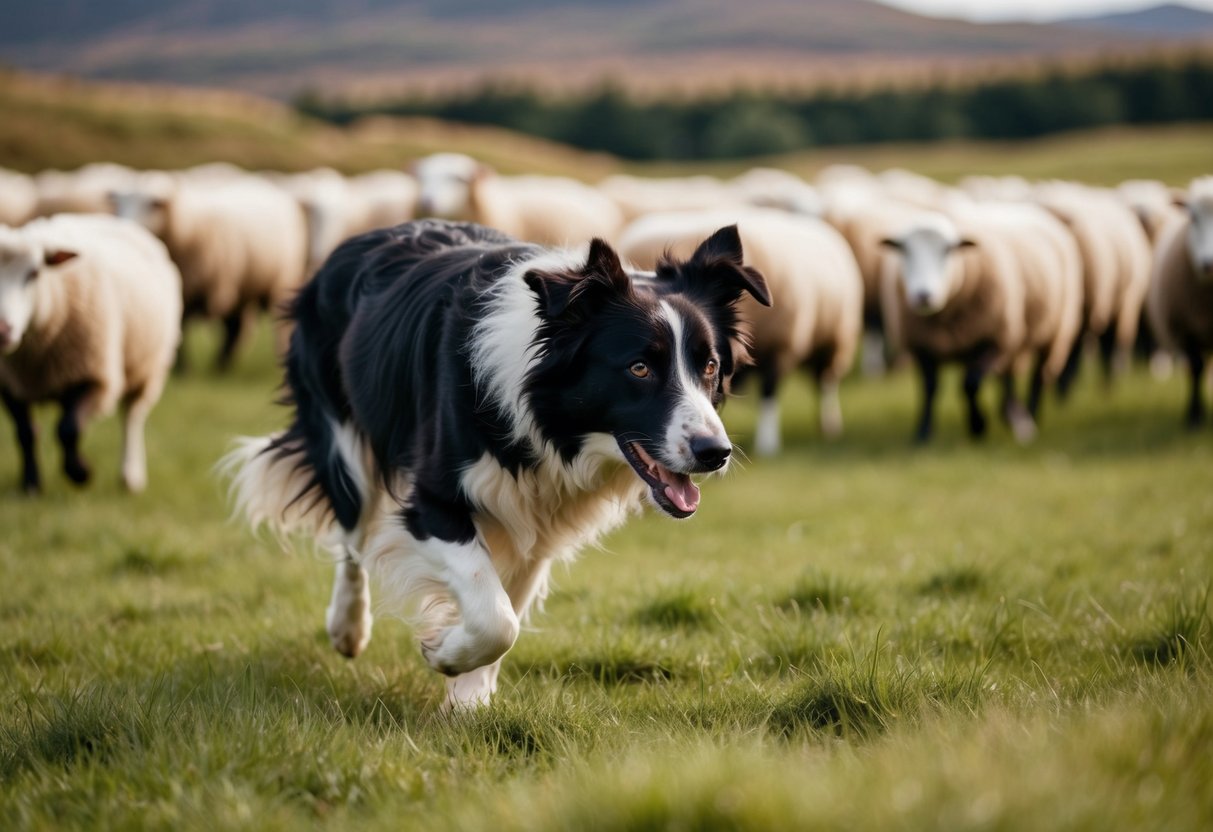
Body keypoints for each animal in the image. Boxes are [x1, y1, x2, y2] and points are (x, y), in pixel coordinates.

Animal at [0, 214, 181, 493]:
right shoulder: (10, 384)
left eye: (34, 273)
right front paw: (30, 483)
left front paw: (80, 473)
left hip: (146, 368)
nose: (2, 330)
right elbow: (26, 433)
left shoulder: (94, 376)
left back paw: (131, 475)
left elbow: (68, 429)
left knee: (131, 418)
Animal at [109, 171, 308, 369]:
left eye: (153, 205)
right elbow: (182, 327)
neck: (188, 229)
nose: (125, 224)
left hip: (280, 280)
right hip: (244, 286)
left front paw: (183, 368)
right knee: (236, 326)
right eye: (119, 203)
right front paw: (182, 366)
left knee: (274, 324)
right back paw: (224, 363)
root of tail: (260, 182)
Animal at [619, 207, 863, 456]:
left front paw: (767, 445)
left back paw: (829, 426)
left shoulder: (778, 349)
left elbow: (769, 394)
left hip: (832, 343)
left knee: (825, 384)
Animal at [880, 207, 1082, 444]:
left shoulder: (993, 340)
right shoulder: (922, 346)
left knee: (1038, 376)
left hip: (1054, 329)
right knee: (1007, 376)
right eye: (904, 250)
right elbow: (929, 388)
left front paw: (978, 426)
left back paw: (1029, 418)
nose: (923, 296)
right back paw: (1012, 415)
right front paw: (923, 433)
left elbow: (970, 384)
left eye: (948, 250)